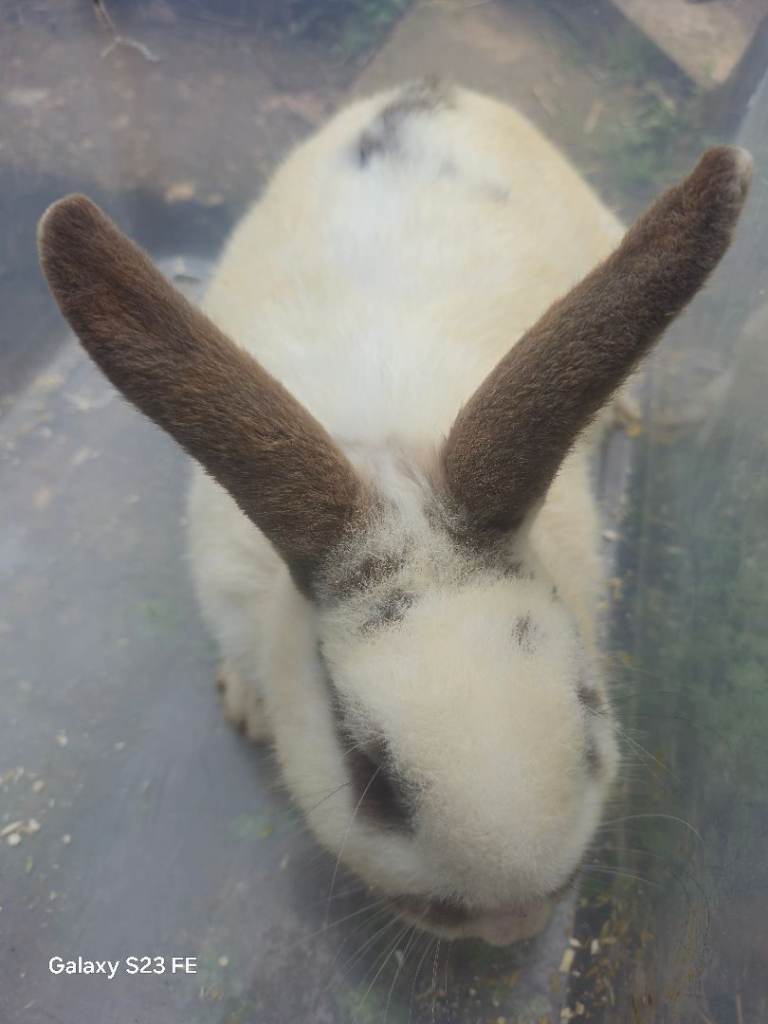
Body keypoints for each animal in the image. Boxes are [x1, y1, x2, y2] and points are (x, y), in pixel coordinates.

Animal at [38, 80, 751, 946]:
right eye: (369, 776)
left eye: (587, 706)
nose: (512, 920)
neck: (388, 463)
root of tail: (436, 87)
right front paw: (248, 710)